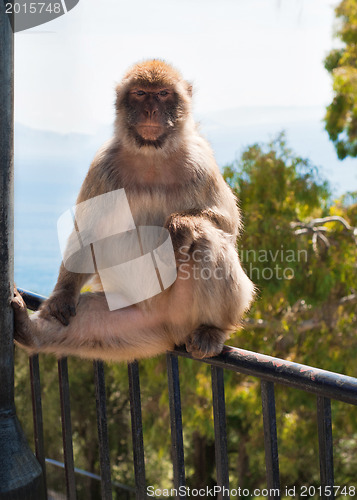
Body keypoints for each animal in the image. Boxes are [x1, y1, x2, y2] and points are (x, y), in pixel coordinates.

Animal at [12, 60, 254, 362]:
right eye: (140, 93)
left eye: (162, 94)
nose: (150, 110)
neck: (151, 156)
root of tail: (169, 330)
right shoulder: (102, 165)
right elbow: (87, 231)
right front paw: (62, 293)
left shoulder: (201, 163)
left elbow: (226, 225)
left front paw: (178, 226)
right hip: (133, 319)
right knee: (91, 320)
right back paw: (29, 331)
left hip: (187, 311)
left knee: (206, 238)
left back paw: (213, 329)